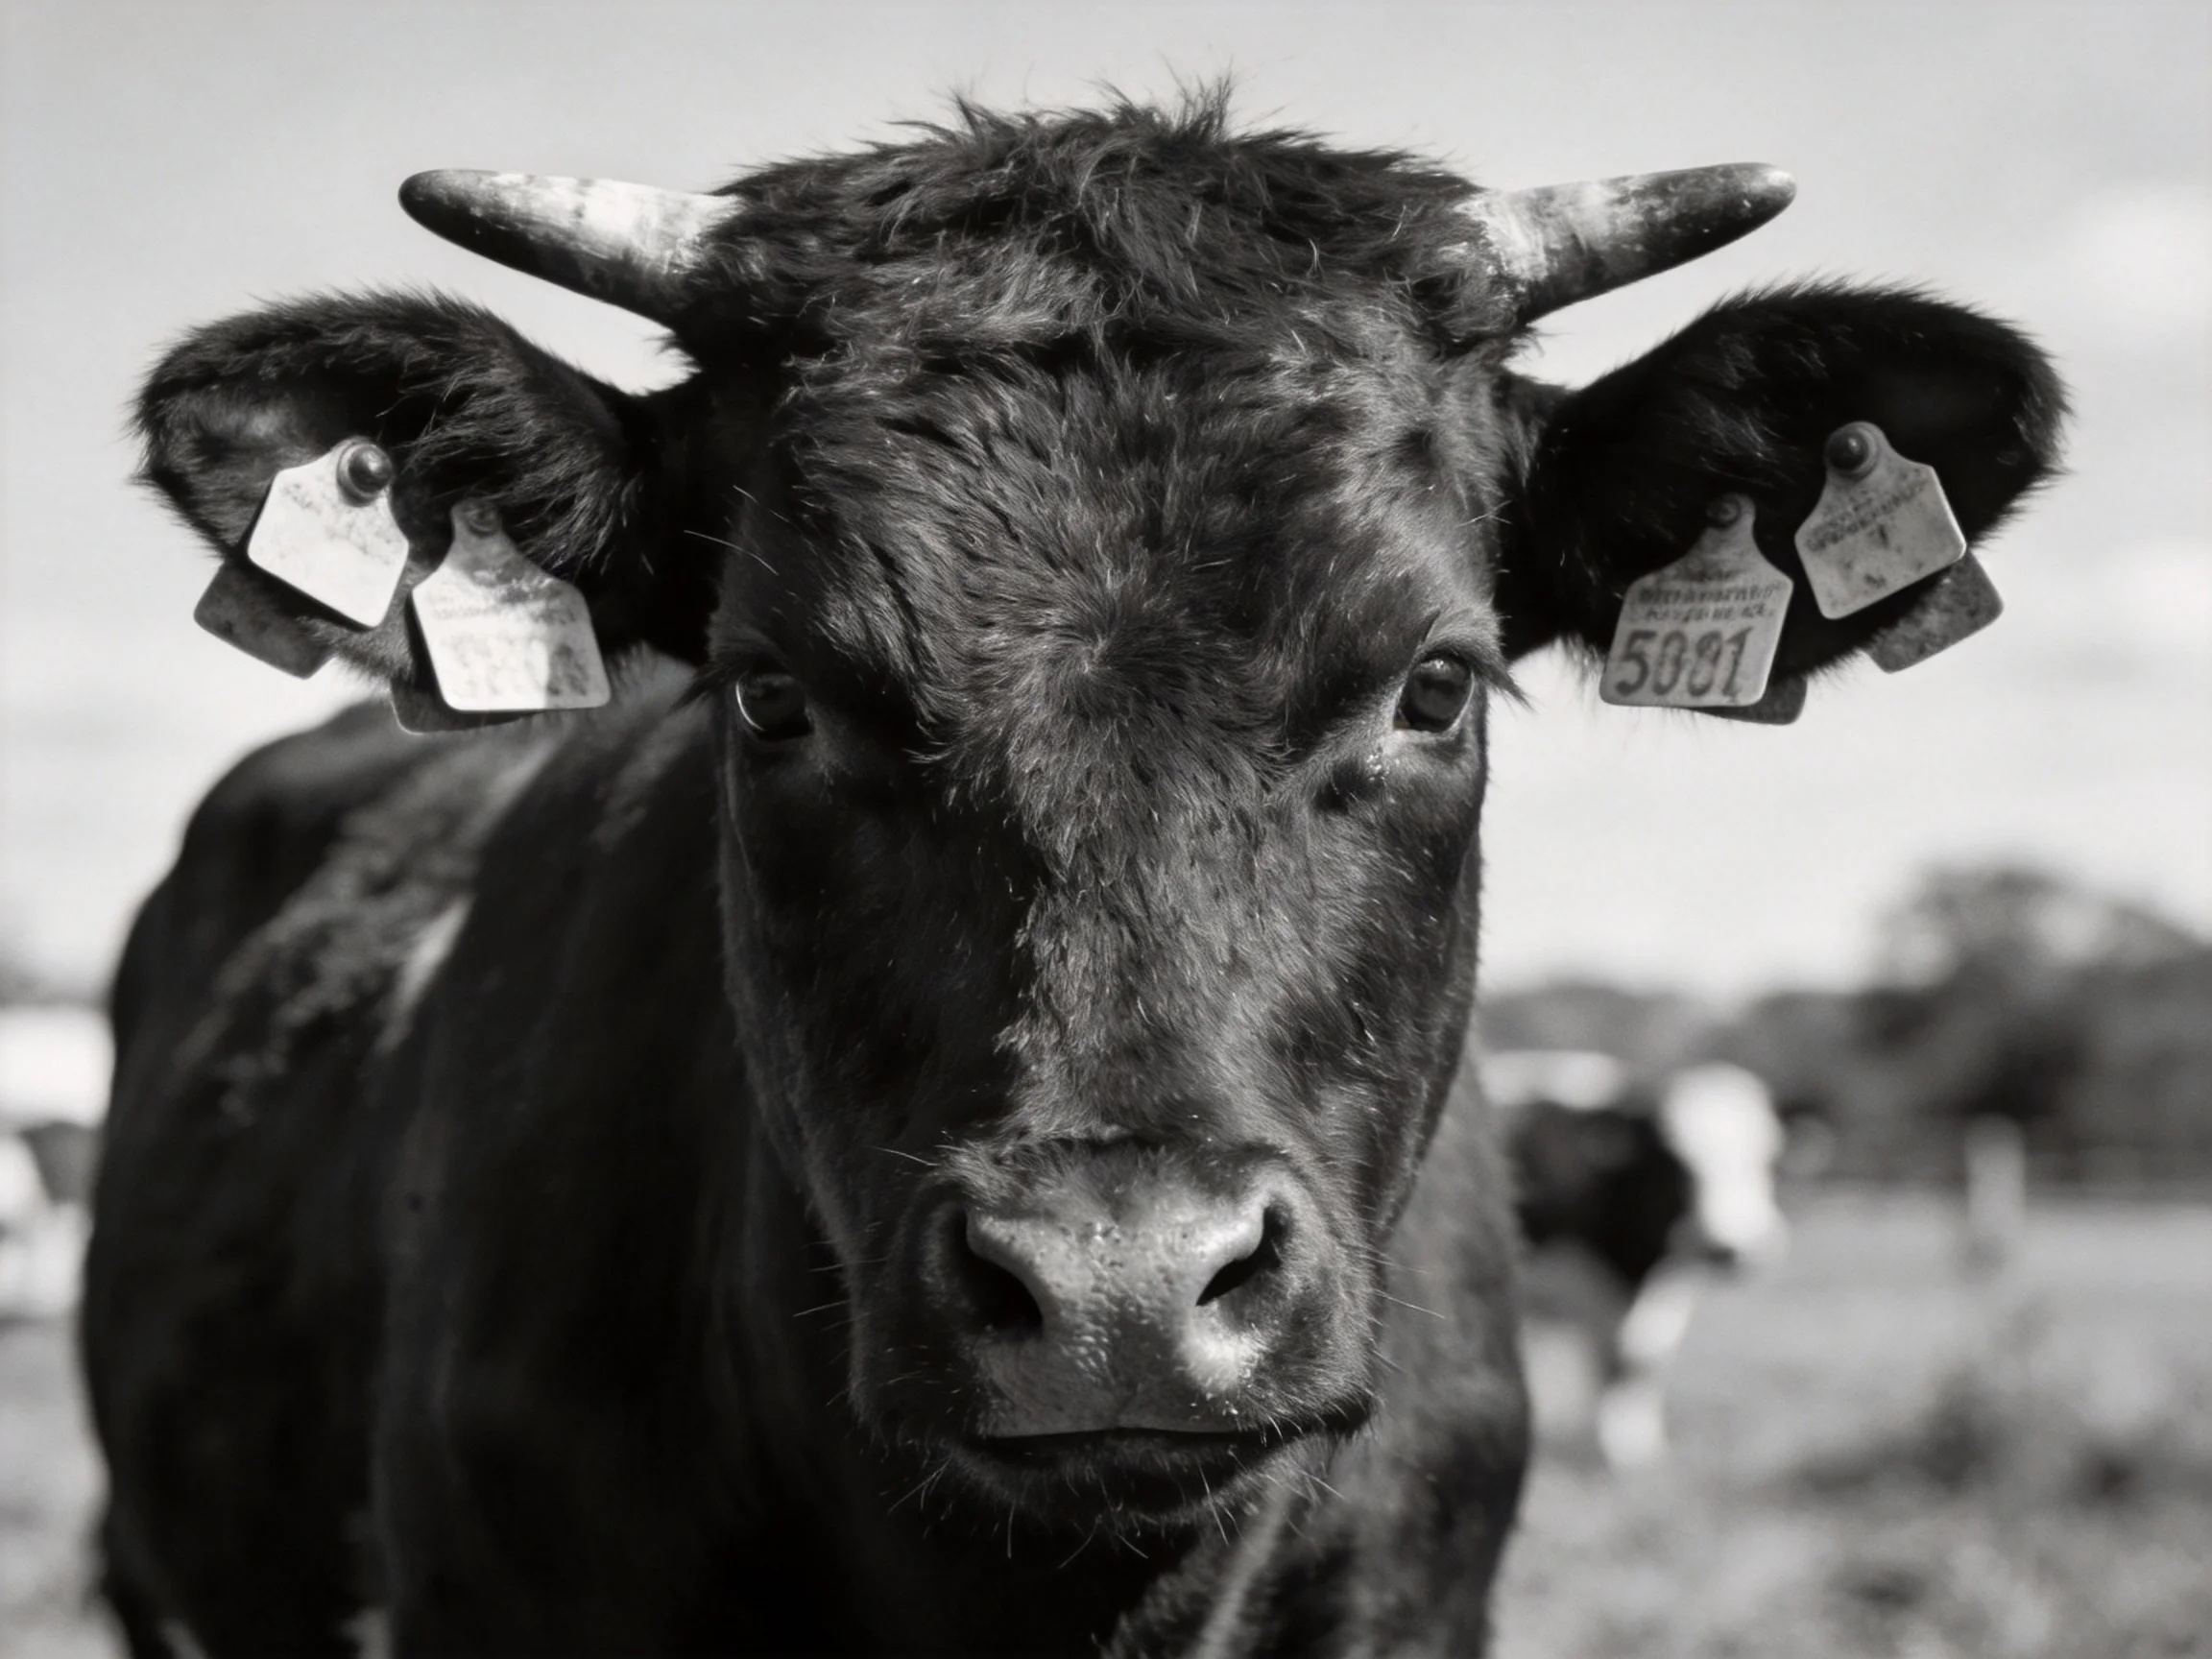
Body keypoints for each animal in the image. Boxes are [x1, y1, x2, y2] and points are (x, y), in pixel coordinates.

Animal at [1492, 1051, 1787, 1468]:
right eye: (1674, 1166)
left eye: (1770, 1160)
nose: (1732, 1249)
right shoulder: (1585, 1287)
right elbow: (1619, 1361)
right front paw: (1614, 1451)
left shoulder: (1668, 1291)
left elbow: (1646, 1360)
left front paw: (1639, 1445)